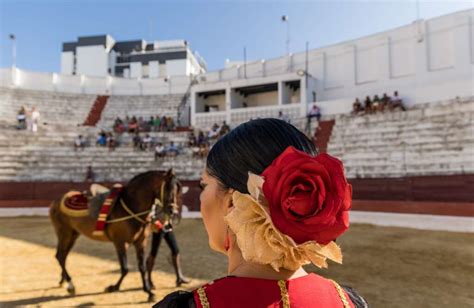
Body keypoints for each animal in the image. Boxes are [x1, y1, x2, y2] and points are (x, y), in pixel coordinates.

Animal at [49, 168, 181, 300]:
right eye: (168, 188)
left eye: (177, 190)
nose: (172, 211)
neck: (131, 206)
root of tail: (56, 201)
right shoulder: (120, 242)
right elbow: (125, 268)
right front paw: (113, 287)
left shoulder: (140, 242)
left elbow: (142, 267)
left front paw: (148, 292)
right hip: (64, 233)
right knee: (60, 256)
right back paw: (70, 285)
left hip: (73, 234)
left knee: (63, 256)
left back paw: (63, 281)